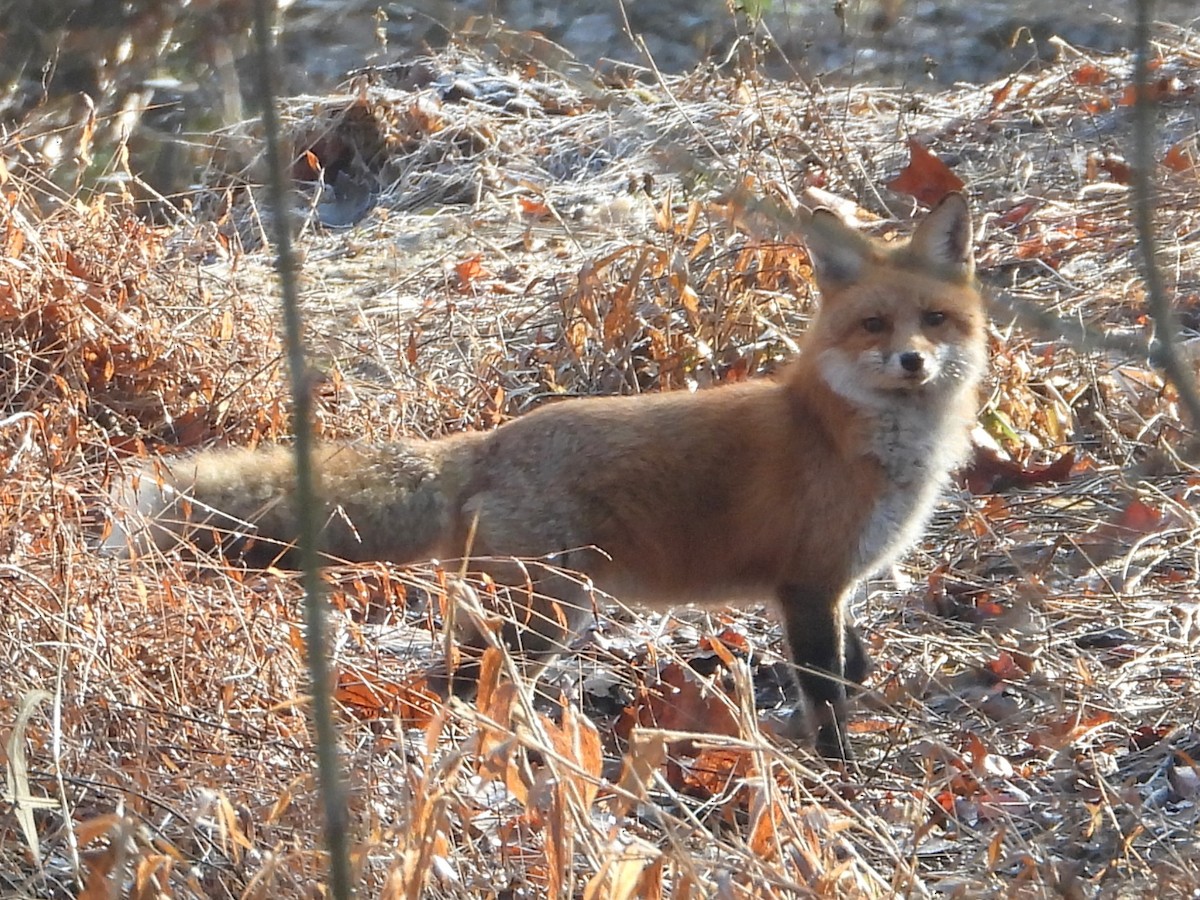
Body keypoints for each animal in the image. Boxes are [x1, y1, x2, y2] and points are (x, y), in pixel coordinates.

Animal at [106, 192, 985, 760]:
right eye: (874, 324)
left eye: (934, 320)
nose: (913, 362)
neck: (846, 436)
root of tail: (484, 443)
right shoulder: (807, 584)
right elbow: (827, 696)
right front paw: (841, 776)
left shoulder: (832, 587)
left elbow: (851, 664)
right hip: (548, 616)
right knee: (460, 685)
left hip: (522, 611)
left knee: (451, 676)